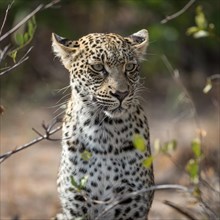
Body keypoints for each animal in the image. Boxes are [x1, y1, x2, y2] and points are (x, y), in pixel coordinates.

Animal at [52, 29, 154, 220]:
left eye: (130, 67)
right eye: (98, 67)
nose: (121, 94)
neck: (103, 129)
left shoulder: (132, 203)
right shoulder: (77, 203)